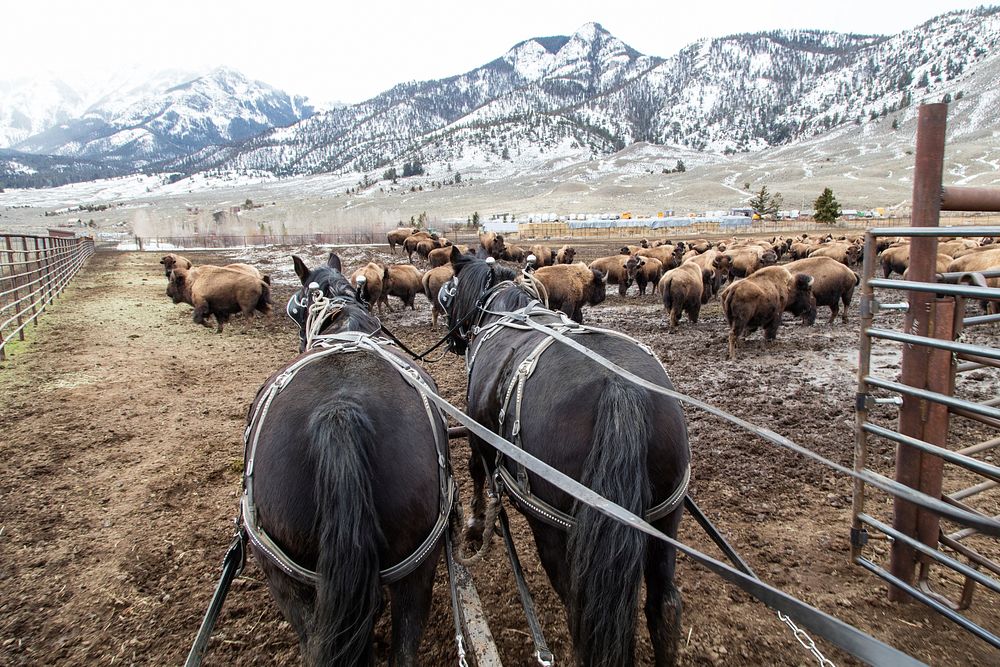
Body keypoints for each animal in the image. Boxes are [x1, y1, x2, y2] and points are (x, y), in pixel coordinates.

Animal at [442, 256, 692, 667]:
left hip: (553, 529)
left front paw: (477, 525)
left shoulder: (477, 431)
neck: (503, 309)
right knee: (665, 607)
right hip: (665, 519)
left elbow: (477, 470)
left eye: (451, 290)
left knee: (581, 614)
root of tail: (619, 387)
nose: (453, 340)